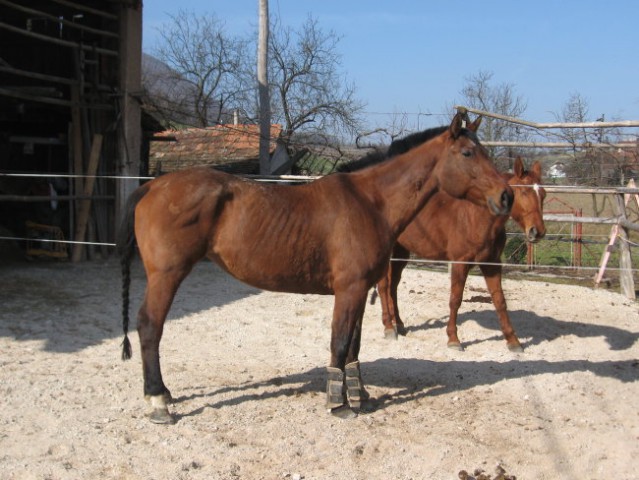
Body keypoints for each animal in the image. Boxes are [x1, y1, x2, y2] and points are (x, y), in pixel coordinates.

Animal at [117, 112, 512, 424]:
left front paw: (360, 395)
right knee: (149, 327)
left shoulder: (360, 290)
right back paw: (158, 401)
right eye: (468, 153)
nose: (505, 196)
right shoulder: (348, 290)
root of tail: (152, 187)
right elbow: (339, 343)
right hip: (167, 275)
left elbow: (353, 348)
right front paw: (339, 404)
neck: (371, 202)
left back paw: (163, 394)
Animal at [378, 157, 548, 348]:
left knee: (392, 286)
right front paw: (453, 339)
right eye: (524, 192)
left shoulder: (492, 264)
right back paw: (388, 327)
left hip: (401, 251)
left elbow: (500, 301)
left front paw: (513, 341)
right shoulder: (460, 263)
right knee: (383, 286)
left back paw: (399, 324)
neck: (477, 217)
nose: (538, 231)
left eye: (543, 194)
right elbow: (455, 300)